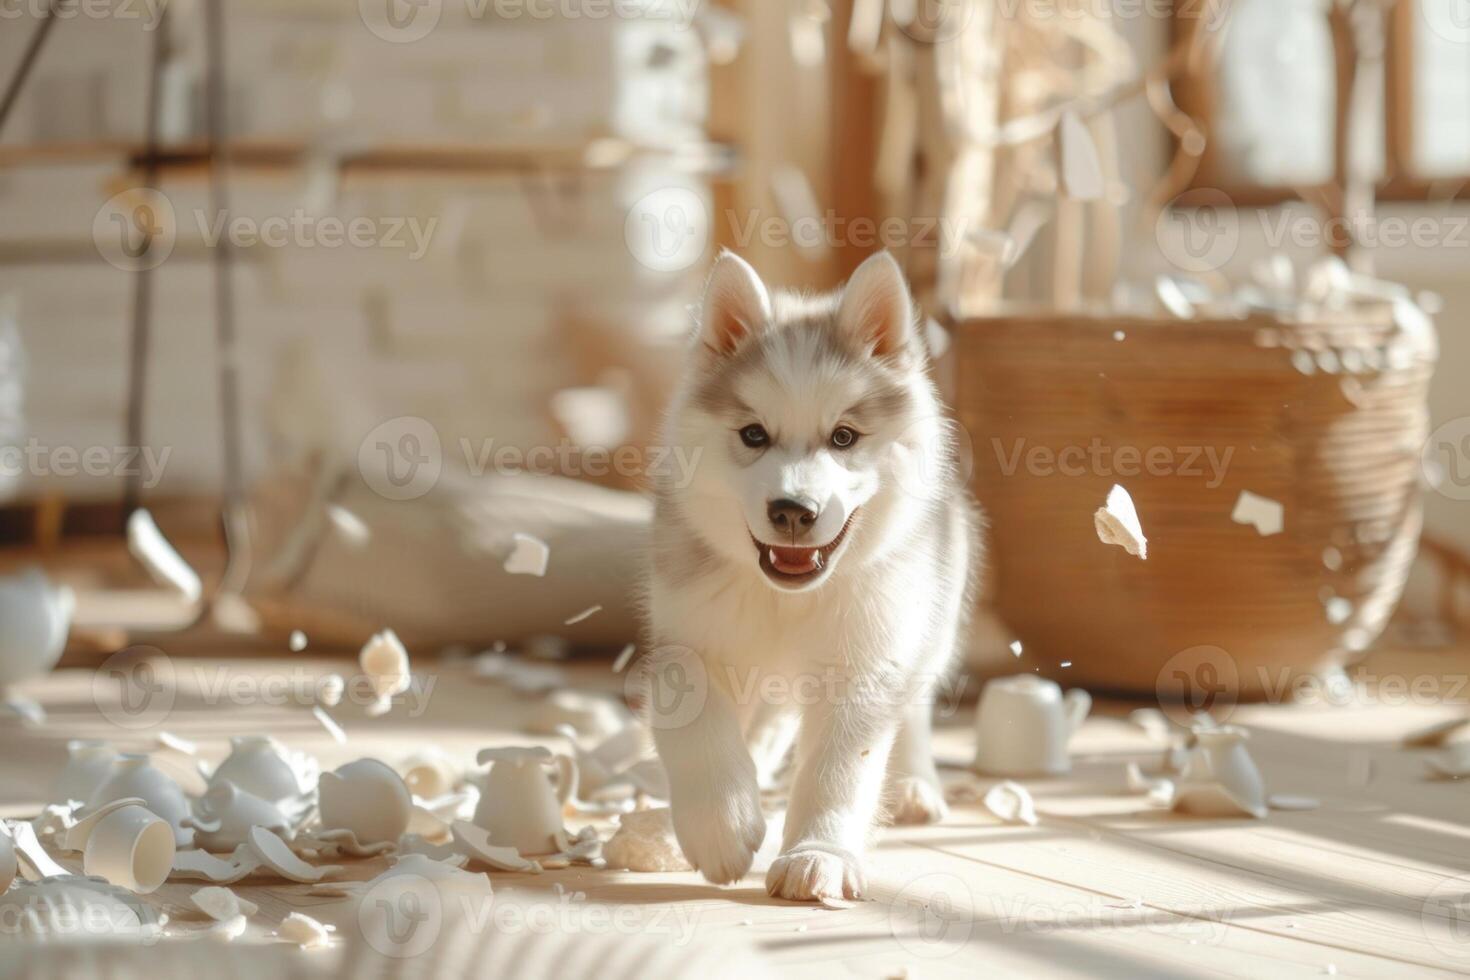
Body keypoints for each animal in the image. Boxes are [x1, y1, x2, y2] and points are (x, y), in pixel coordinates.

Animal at [649, 249, 981, 899]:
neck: (789, 599)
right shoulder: (682, 632)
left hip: (933, 613)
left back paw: (914, 784)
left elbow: (839, 768)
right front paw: (721, 826)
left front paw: (819, 855)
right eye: (754, 434)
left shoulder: (869, 657)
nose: (793, 511)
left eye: (844, 437)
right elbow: (696, 717)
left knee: (916, 703)